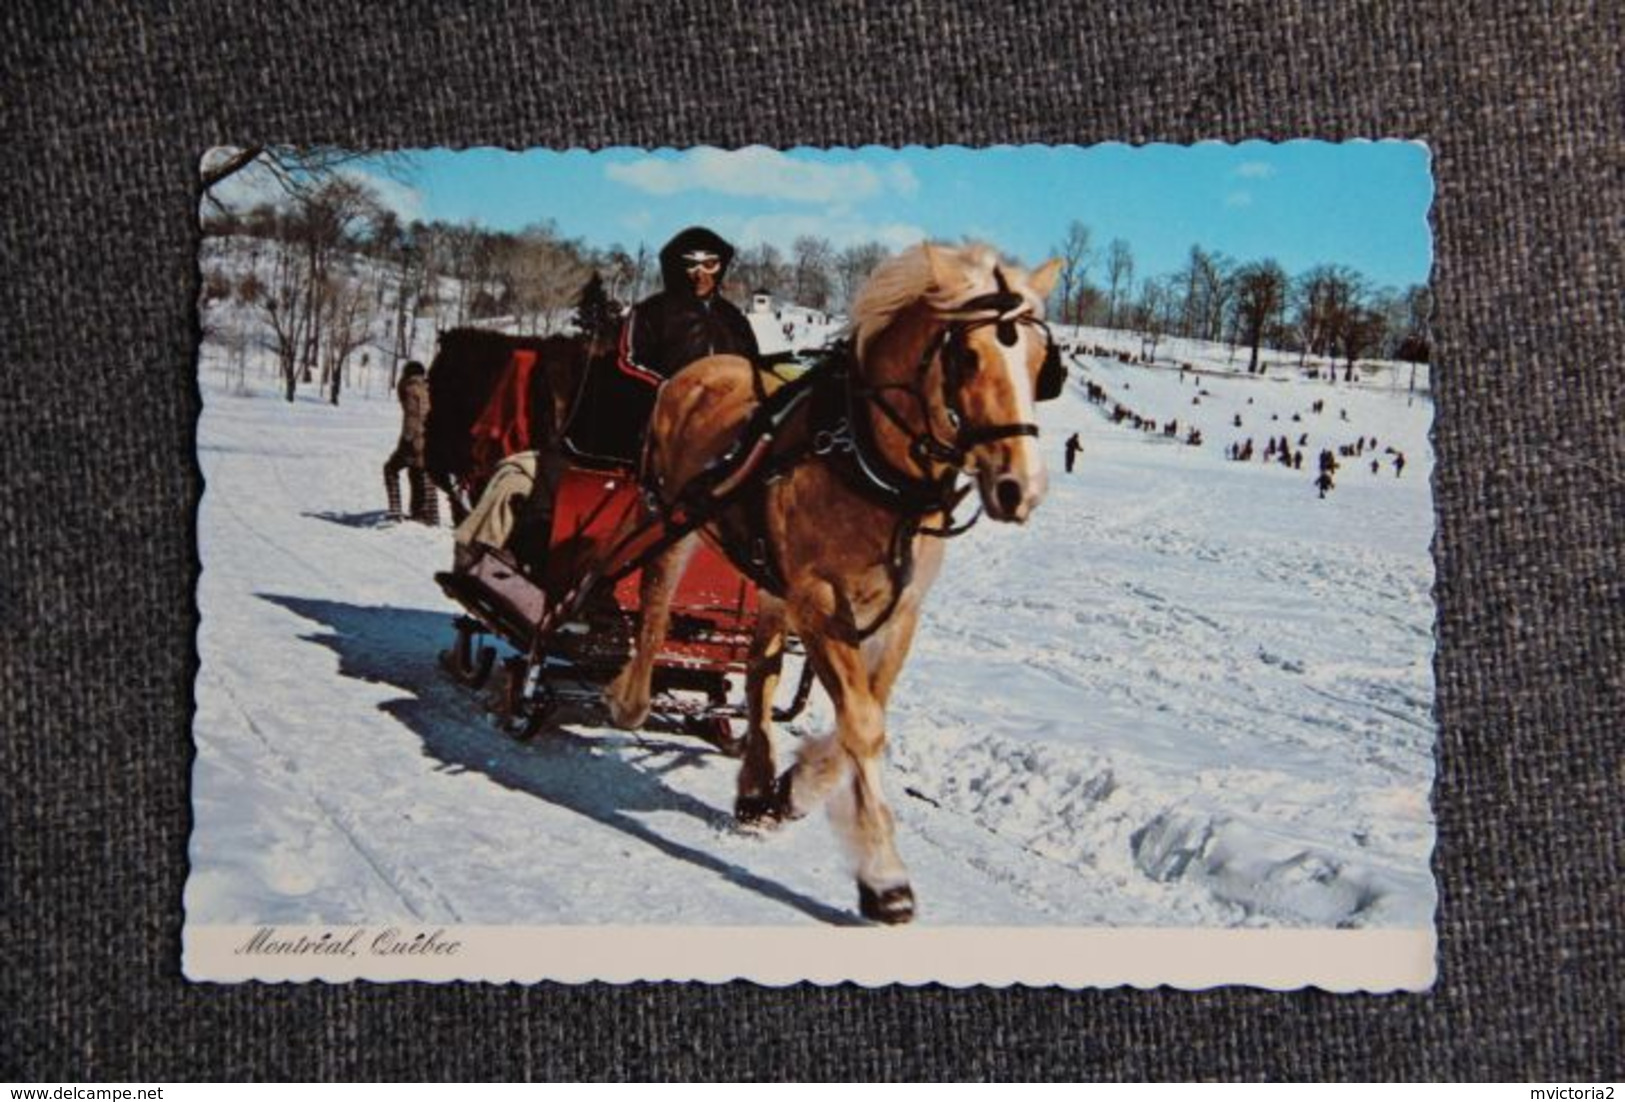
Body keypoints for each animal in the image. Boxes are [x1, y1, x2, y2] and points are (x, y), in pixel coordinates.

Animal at [604, 242, 1059, 923]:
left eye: (1039, 363)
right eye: (967, 355)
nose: (1019, 488)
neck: (870, 462)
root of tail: (699, 369)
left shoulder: (897, 609)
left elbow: (862, 714)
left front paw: (794, 788)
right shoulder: (818, 599)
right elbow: (863, 724)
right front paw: (884, 877)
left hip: (769, 574)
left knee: (760, 672)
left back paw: (755, 781)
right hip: (670, 515)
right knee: (656, 604)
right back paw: (629, 698)